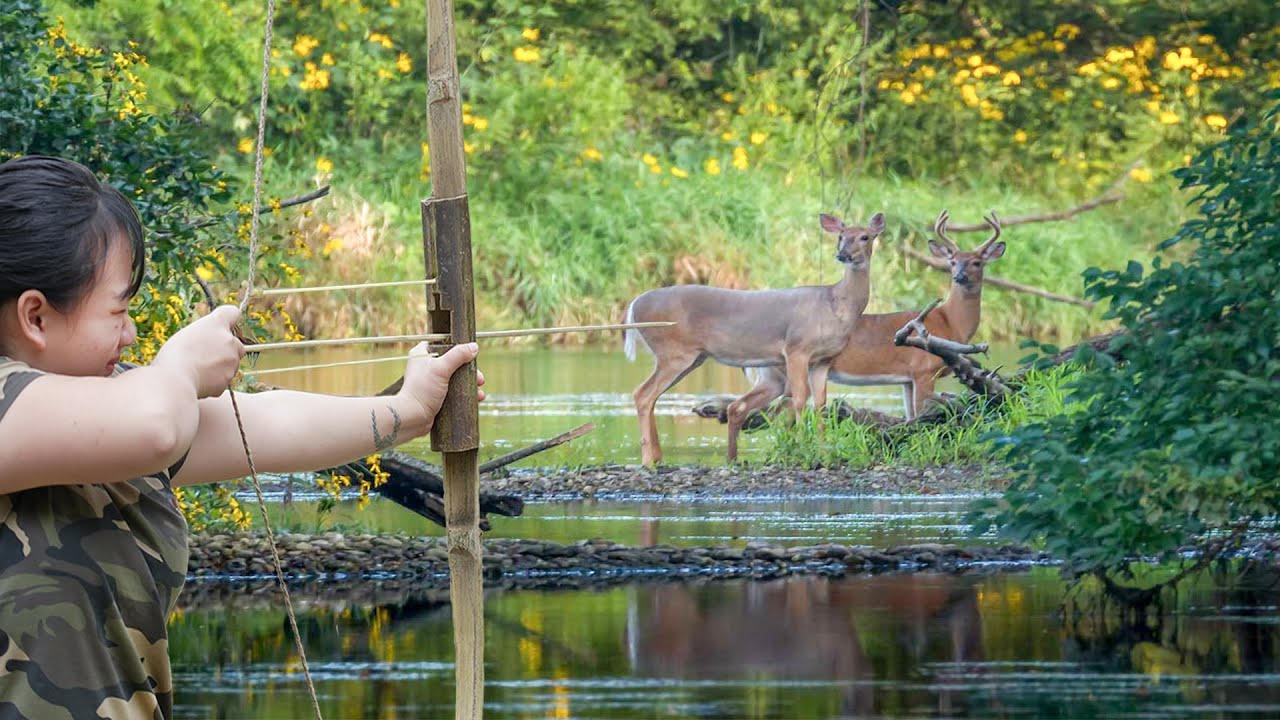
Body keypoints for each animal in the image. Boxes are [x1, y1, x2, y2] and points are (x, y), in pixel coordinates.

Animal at [622, 210, 885, 461]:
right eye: (841, 236)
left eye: (865, 236)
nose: (843, 255)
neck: (835, 305)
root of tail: (634, 305)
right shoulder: (796, 348)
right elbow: (800, 400)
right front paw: (804, 448)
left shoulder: (823, 360)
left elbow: (820, 404)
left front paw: (823, 449)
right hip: (673, 351)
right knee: (643, 394)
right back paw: (649, 460)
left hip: (692, 357)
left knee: (651, 396)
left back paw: (657, 457)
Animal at [737, 207, 1003, 420]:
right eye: (952, 262)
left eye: (977, 262)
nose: (960, 277)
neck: (950, 322)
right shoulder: (923, 370)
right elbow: (920, 414)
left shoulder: (907, 379)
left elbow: (910, 416)